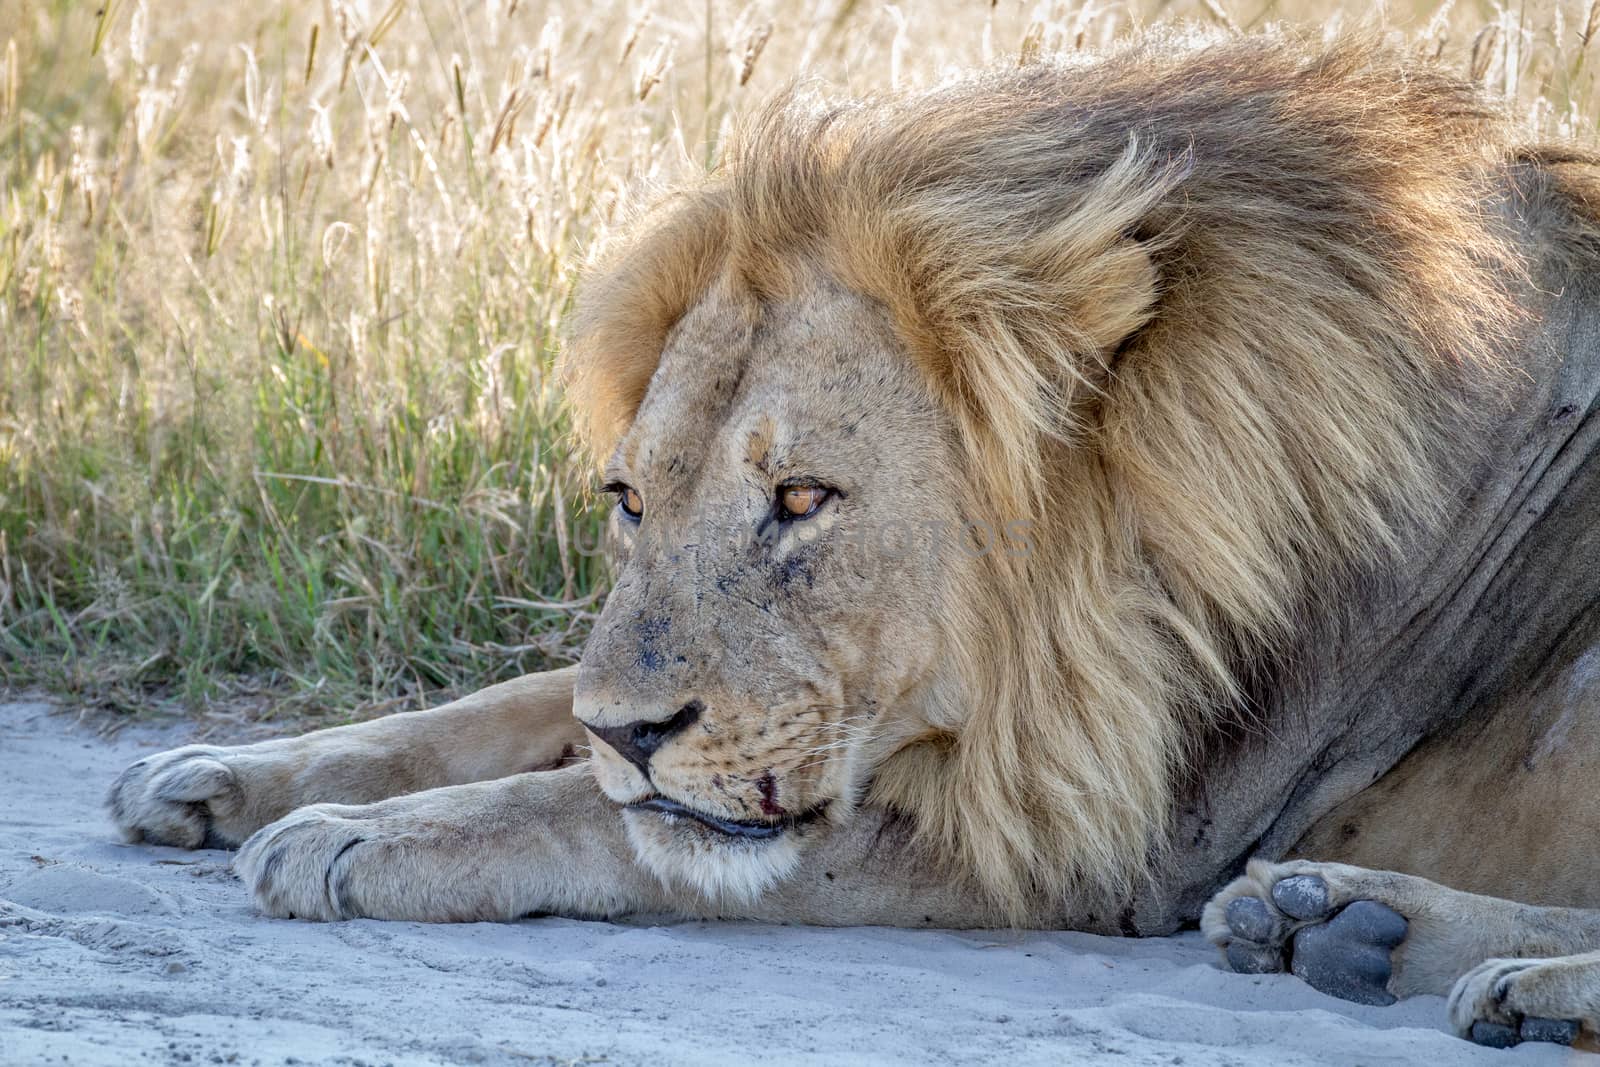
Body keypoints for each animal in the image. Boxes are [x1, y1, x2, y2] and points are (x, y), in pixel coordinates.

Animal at [106, 31, 1593, 1049]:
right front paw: (229, 771)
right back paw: (1328, 923)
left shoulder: (1099, 831)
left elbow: (589, 811)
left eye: (804, 499)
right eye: (629, 499)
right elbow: (523, 702)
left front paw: (342, 837)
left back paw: (1477, 971)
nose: (635, 732)